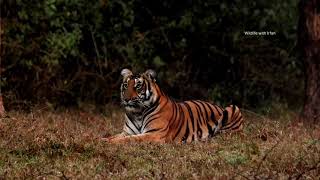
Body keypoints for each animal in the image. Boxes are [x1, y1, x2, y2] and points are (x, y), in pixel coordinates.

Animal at [104, 69, 244, 143]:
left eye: (138, 86)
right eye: (125, 85)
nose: (126, 99)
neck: (137, 113)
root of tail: (218, 106)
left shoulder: (155, 133)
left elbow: (130, 139)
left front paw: (107, 142)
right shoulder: (126, 132)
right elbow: (114, 136)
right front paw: (102, 139)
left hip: (233, 108)